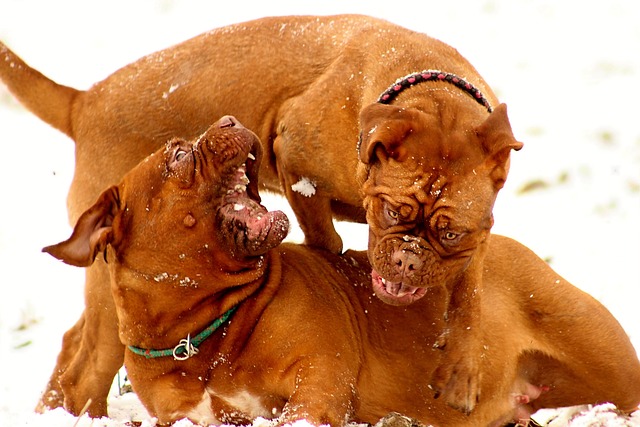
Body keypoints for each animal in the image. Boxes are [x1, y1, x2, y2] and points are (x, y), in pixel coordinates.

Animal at [1, 15, 520, 416]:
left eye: (450, 233)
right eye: (392, 210)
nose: (408, 260)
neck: (426, 85)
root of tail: (83, 101)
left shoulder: (478, 234)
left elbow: (469, 294)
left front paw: (462, 370)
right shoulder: (297, 165)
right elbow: (326, 242)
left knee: (72, 344)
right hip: (112, 295)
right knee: (86, 367)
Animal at [43, 115, 640, 426]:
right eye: (175, 155)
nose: (230, 119)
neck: (201, 328)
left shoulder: (318, 383)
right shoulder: (187, 415)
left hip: (603, 358)